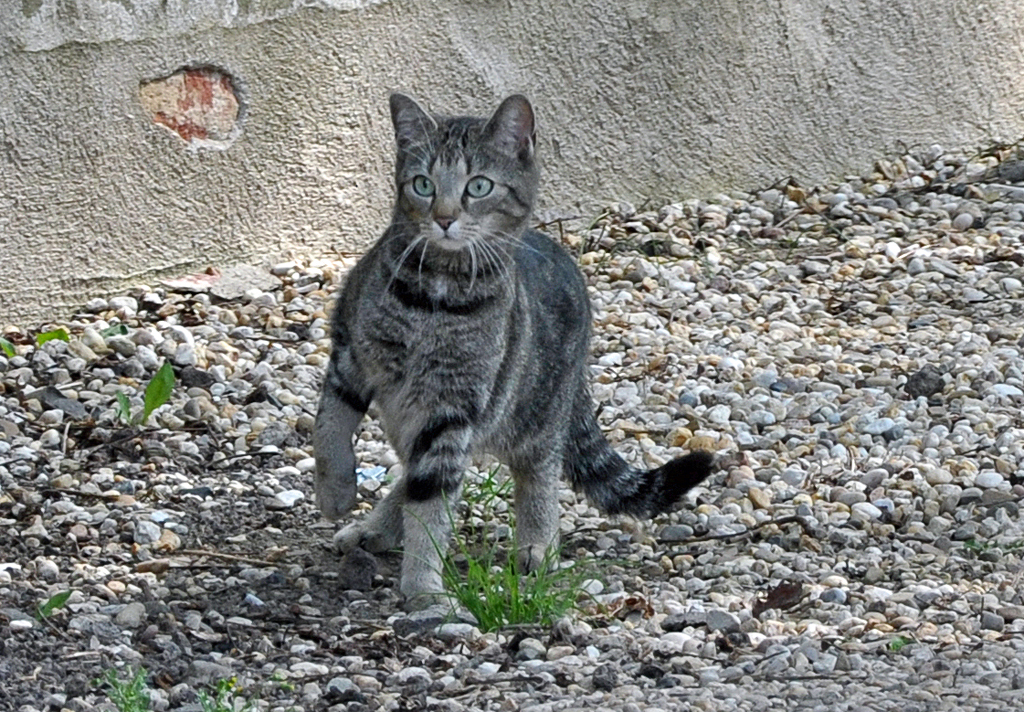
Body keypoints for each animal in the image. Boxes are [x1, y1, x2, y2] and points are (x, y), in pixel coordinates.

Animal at [315, 91, 716, 610]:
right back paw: (375, 528)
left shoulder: (454, 408)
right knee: (409, 475)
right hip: (413, 418)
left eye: (479, 186)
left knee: (535, 475)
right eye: (422, 184)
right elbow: (330, 428)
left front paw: (423, 586)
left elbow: (432, 504)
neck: (434, 301)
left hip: (534, 415)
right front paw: (335, 491)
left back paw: (537, 545)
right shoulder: (350, 356)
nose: (444, 218)